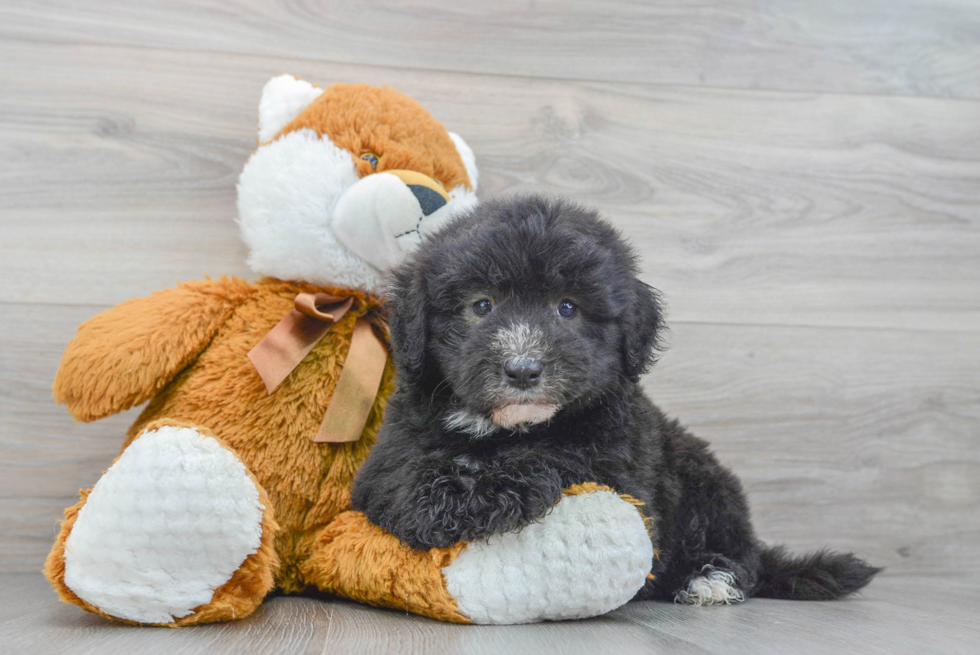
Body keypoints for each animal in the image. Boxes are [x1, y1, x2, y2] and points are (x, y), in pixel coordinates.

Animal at [354, 193, 880, 604]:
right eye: (481, 305)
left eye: (568, 308)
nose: (523, 370)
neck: (507, 427)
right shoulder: (390, 450)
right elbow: (401, 477)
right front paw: (451, 498)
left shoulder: (617, 459)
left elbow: (556, 456)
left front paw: (485, 489)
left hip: (703, 481)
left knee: (741, 556)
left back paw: (709, 578)